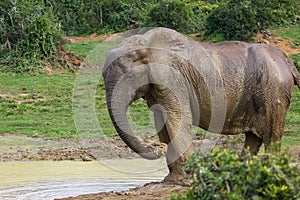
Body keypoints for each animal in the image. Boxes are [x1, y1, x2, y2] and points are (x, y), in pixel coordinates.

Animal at [102, 27, 300, 182]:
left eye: (129, 77)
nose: (157, 147)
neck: (143, 45)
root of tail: (287, 61)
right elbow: (163, 122)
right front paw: (172, 179)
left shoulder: (172, 79)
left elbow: (177, 118)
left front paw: (187, 179)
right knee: (254, 137)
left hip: (273, 90)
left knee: (271, 136)